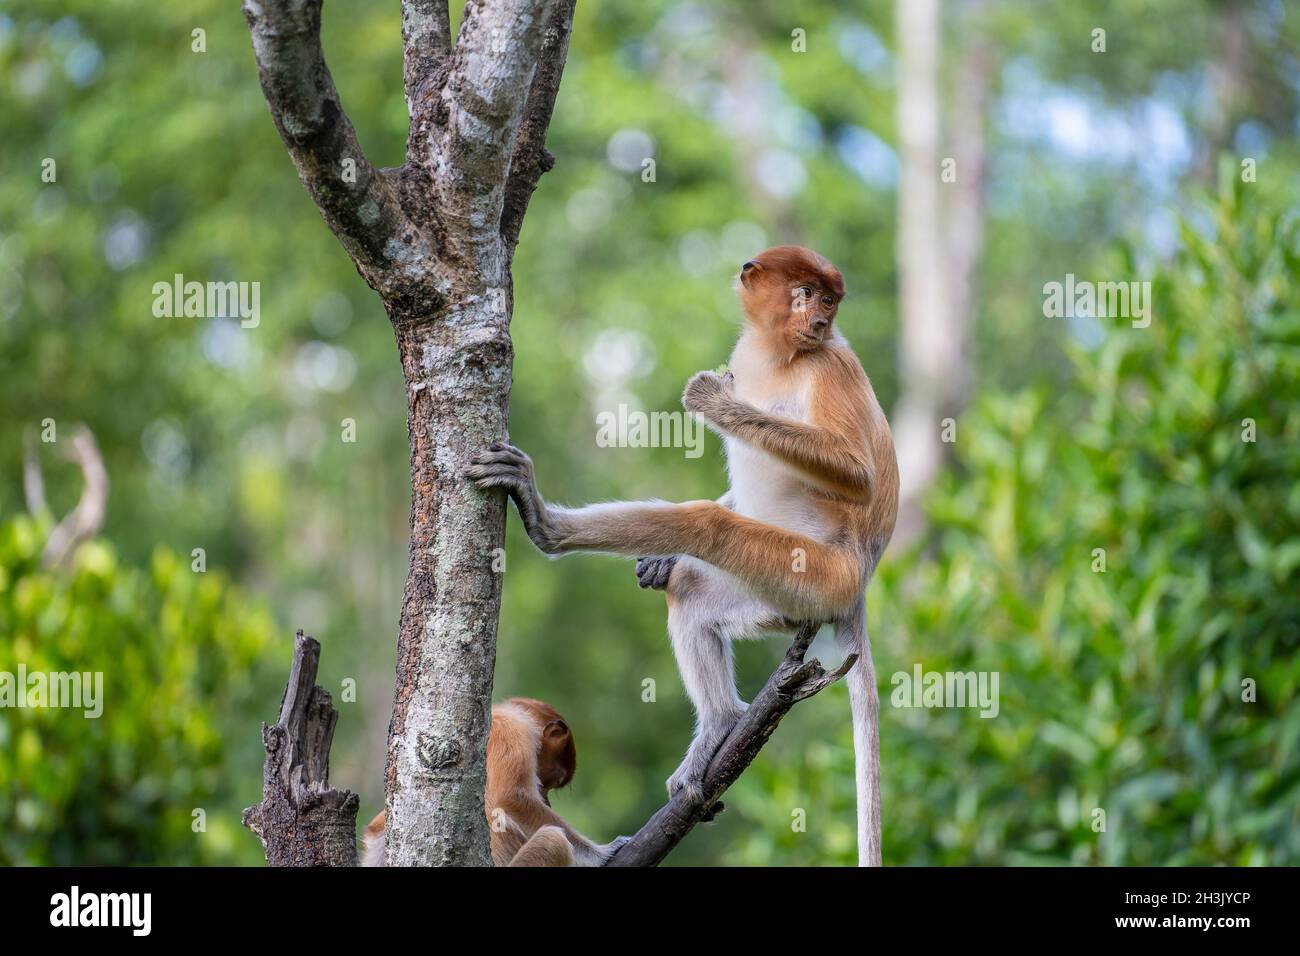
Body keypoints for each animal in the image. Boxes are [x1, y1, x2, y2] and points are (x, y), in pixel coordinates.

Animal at [361, 697, 629, 866]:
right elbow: (512, 798)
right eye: (551, 779)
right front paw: (605, 852)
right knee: (554, 841)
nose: (548, 802)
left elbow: (376, 826)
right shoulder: (512, 731)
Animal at [467, 246, 898, 866]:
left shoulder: (831, 364)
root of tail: (860, 580)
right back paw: (721, 720)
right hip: (783, 594)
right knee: (693, 594)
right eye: (807, 293)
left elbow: (855, 471)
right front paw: (659, 563)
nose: (819, 319)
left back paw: (546, 526)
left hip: (812, 571)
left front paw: (711, 399)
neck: (781, 353)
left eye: (828, 298)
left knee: (706, 524)